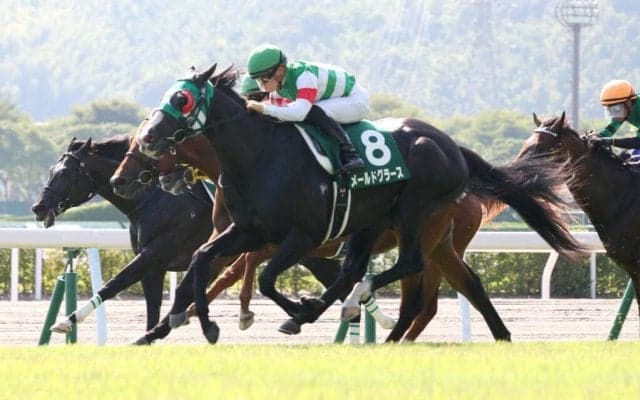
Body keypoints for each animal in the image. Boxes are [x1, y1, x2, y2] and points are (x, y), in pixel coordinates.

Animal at [136, 63, 585, 343]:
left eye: (182, 99)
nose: (148, 138)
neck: (260, 156)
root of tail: (451, 144)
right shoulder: (249, 230)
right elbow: (203, 260)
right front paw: (195, 325)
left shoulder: (301, 236)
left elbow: (262, 280)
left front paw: (292, 310)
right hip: (382, 222)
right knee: (424, 278)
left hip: (415, 213)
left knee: (407, 268)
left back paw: (352, 307)